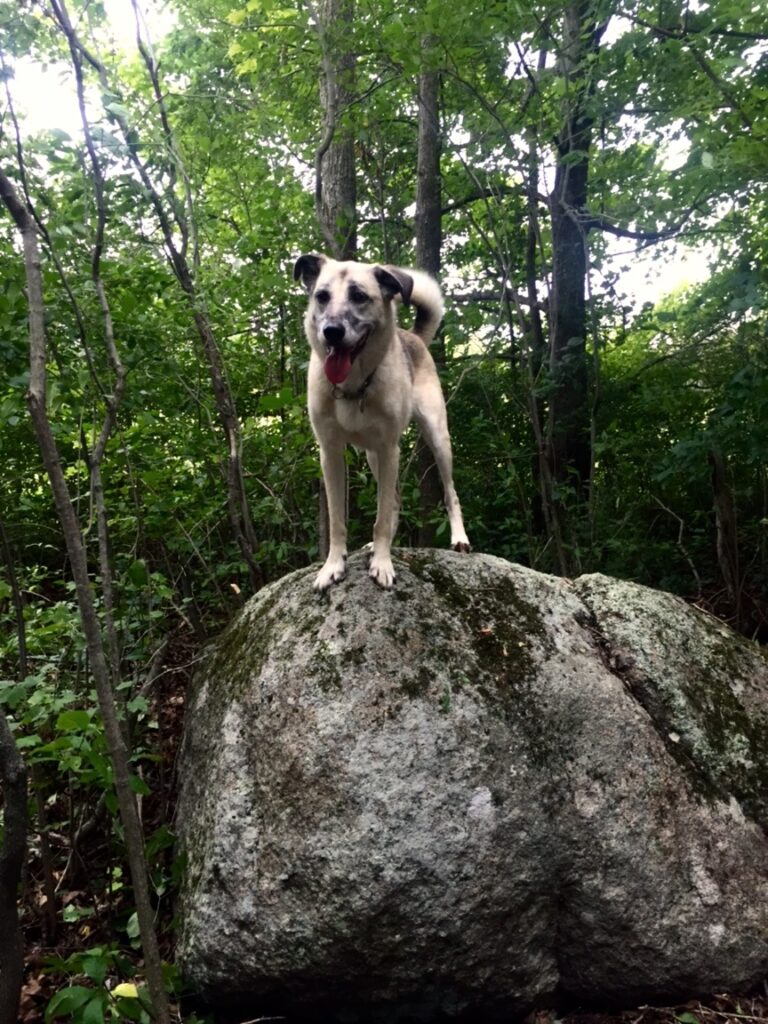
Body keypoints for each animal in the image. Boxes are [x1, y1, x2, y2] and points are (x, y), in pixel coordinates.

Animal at [294, 253, 473, 593]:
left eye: (359, 296)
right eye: (321, 296)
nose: (331, 331)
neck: (354, 386)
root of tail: (413, 336)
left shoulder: (390, 448)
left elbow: (381, 517)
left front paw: (382, 563)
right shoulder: (331, 453)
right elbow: (338, 519)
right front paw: (333, 566)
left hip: (437, 438)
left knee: (451, 493)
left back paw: (459, 538)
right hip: (373, 456)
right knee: (396, 501)